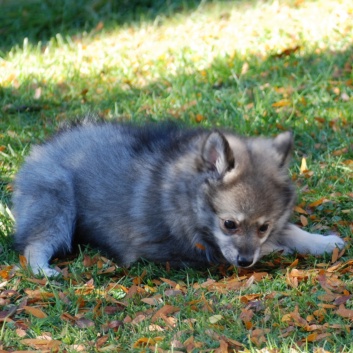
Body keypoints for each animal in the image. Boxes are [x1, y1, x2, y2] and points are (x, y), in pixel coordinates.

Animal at [12, 121, 342, 276]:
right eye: (229, 224)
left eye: (263, 227)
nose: (246, 261)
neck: (186, 201)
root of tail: (41, 148)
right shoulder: (177, 251)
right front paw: (281, 249)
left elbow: (291, 230)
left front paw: (324, 242)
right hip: (57, 203)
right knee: (34, 245)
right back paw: (43, 269)